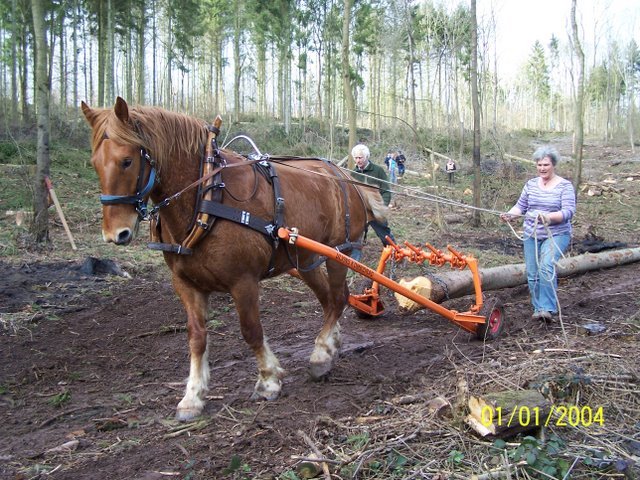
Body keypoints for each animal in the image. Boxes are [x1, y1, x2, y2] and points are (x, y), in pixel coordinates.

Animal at [82, 97, 388, 420]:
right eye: (95, 163)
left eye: (127, 161)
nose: (115, 234)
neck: (206, 199)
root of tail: (348, 178)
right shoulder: (186, 284)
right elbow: (196, 337)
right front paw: (193, 396)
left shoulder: (243, 282)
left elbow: (251, 331)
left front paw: (268, 380)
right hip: (304, 258)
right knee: (330, 299)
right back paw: (329, 346)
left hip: (339, 253)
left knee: (338, 297)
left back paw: (319, 356)